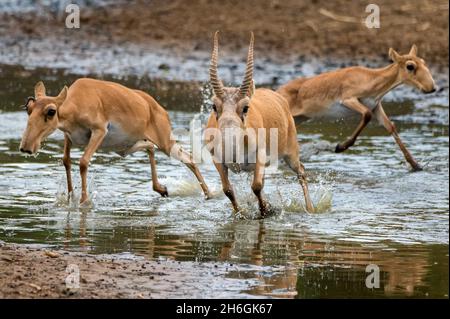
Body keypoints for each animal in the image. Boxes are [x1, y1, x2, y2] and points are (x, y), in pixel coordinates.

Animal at [18, 80, 212, 205]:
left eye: (51, 111)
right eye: (28, 108)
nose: (26, 148)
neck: (77, 102)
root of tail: (157, 107)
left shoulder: (99, 131)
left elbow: (83, 162)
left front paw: (83, 201)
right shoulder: (69, 136)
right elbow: (66, 161)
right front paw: (70, 198)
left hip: (165, 142)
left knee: (189, 158)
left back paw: (209, 194)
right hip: (126, 148)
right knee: (150, 147)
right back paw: (162, 189)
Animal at [206, 31, 314, 218]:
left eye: (245, 107)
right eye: (214, 106)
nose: (228, 137)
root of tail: (277, 96)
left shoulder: (260, 156)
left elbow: (256, 186)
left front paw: (265, 211)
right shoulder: (217, 160)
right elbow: (228, 190)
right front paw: (241, 214)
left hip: (291, 153)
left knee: (301, 171)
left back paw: (311, 209)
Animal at [276, 44, 438, 172]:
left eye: (423, 61)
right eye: (410, 66)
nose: (432, 88)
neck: (372, 79)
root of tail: (277, 92)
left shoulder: (376, 106)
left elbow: (391, 126)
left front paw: (416, 165)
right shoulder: (348, 100)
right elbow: (366, 115)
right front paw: (340, 147)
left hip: (299, 119)